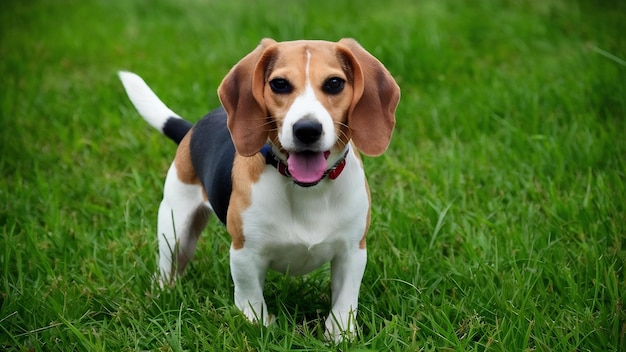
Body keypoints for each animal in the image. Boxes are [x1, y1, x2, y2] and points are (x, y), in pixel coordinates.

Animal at [118, 38, 400, 340]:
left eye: (334, 83)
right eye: (279, 84)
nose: (307, 129)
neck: (306, 188)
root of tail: (193, 128)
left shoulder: (353, 251)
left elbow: (344, 303)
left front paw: (340, 336)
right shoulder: (245, 252)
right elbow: (250, 298)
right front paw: (258, 328)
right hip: (175, 226)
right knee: (166, 267)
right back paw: (163, 296)